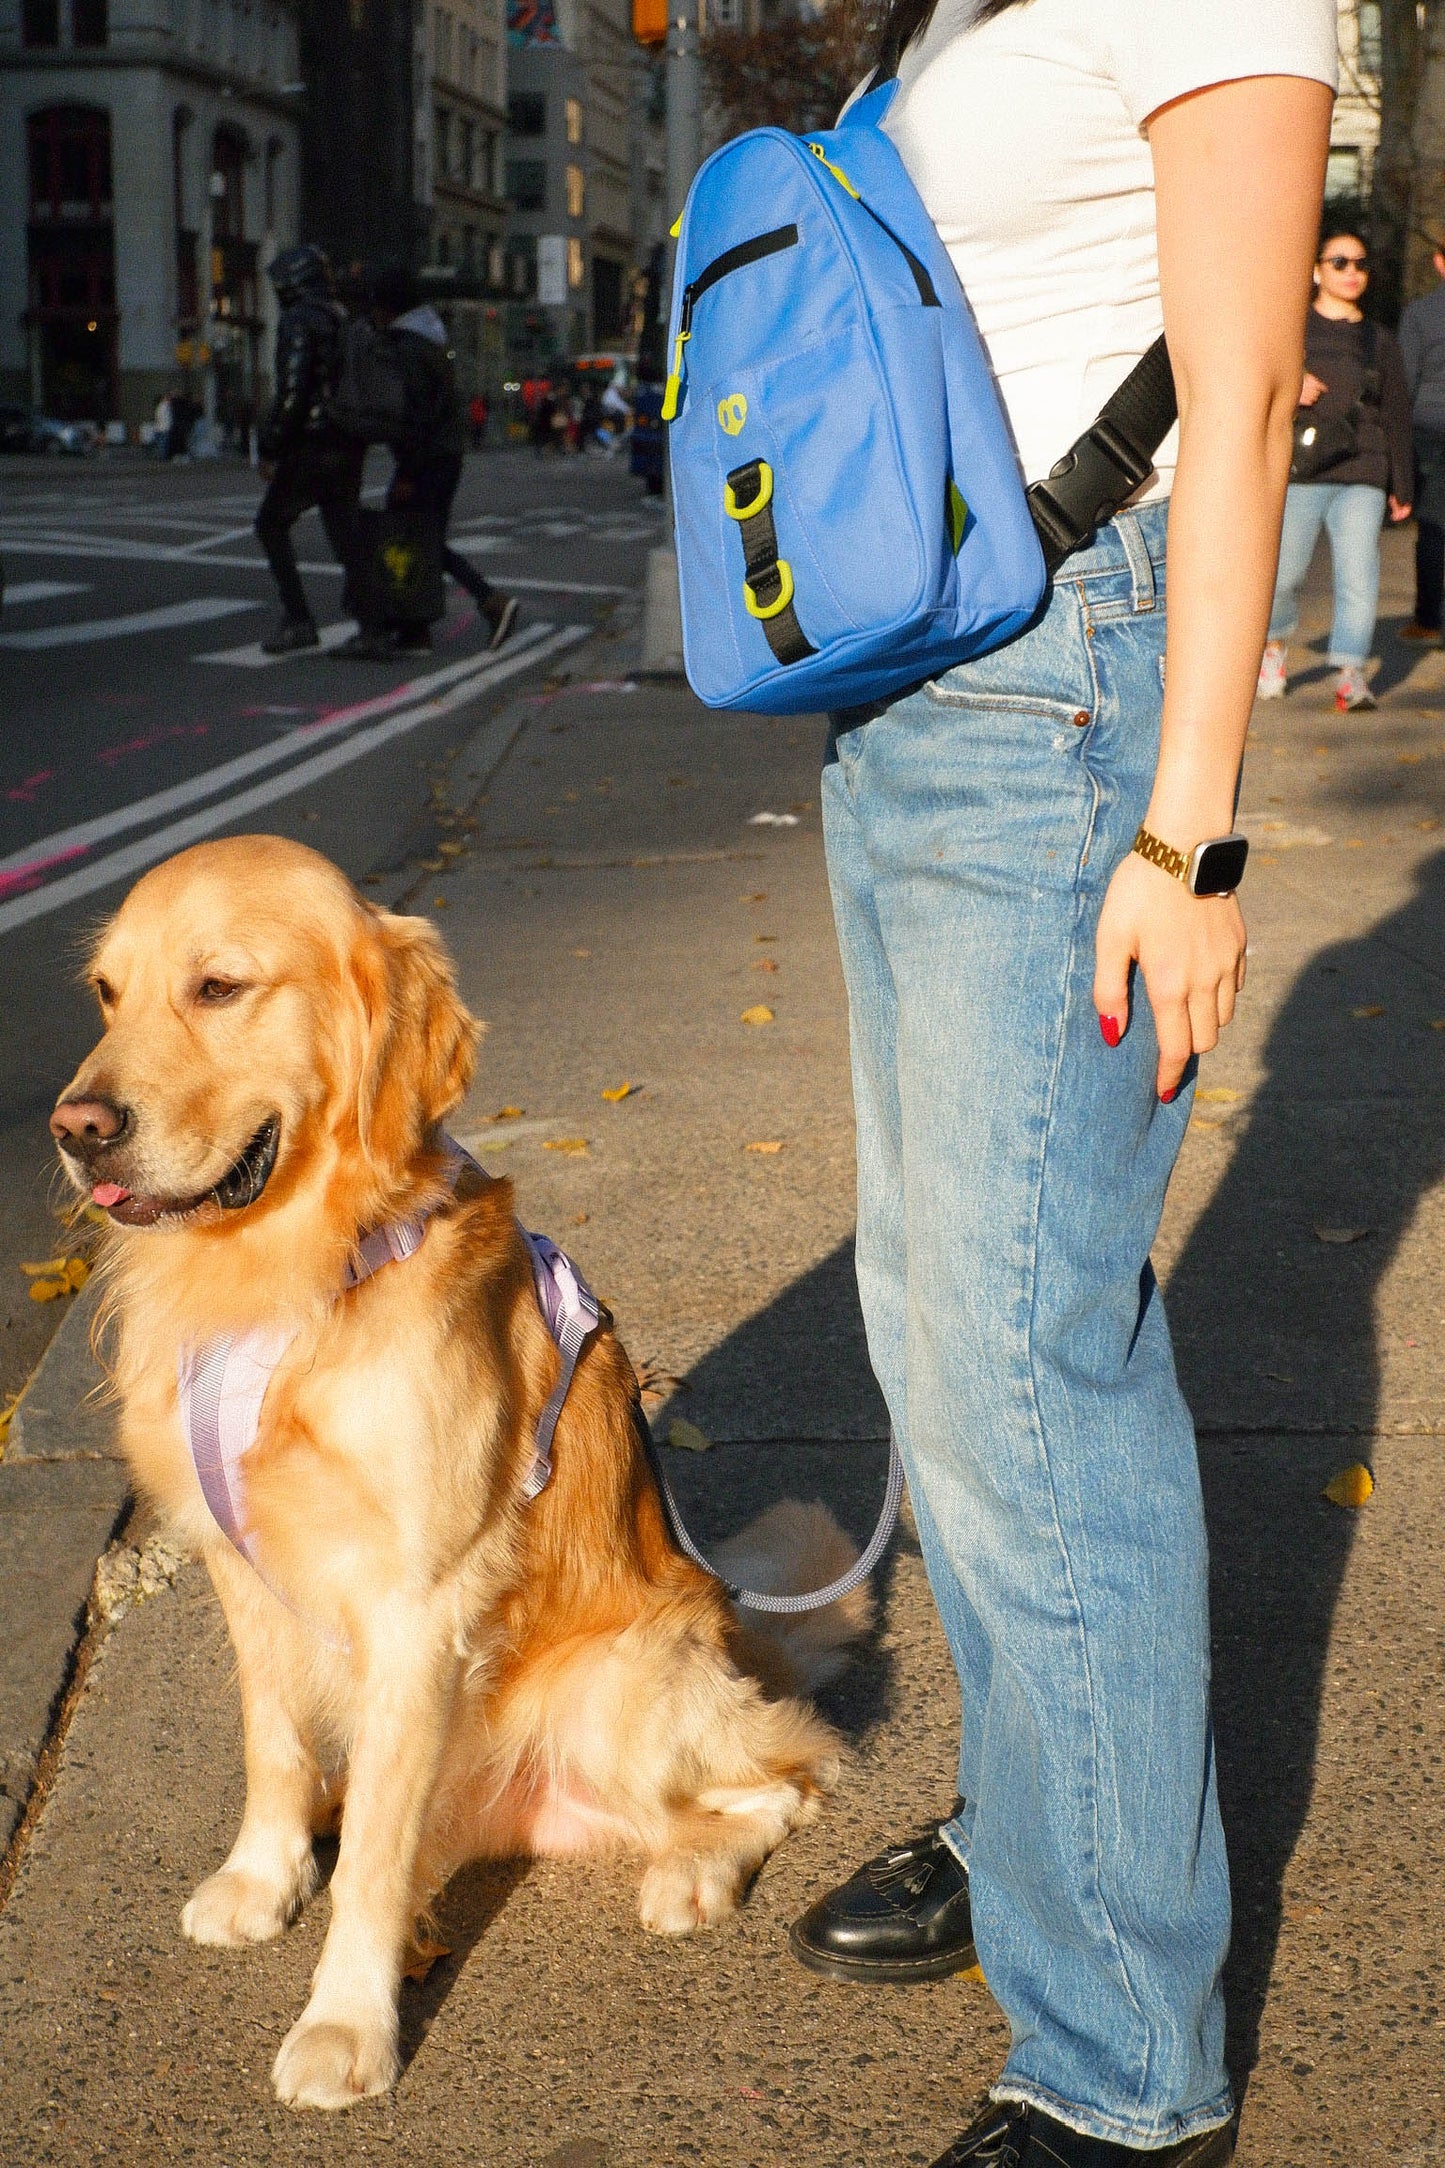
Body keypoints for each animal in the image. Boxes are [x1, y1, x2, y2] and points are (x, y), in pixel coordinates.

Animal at [50, 836, 870, 2107]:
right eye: (104, 991)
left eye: (219, 986)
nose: (74, 1124)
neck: (292, 1277)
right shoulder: (241, 1562)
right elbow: (272, 1743)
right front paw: (263, 1875)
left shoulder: (416, 1602)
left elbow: (374, 1861)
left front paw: (344, 2023)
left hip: (609, 1685)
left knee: (791, 1768)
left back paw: (690, 1872)